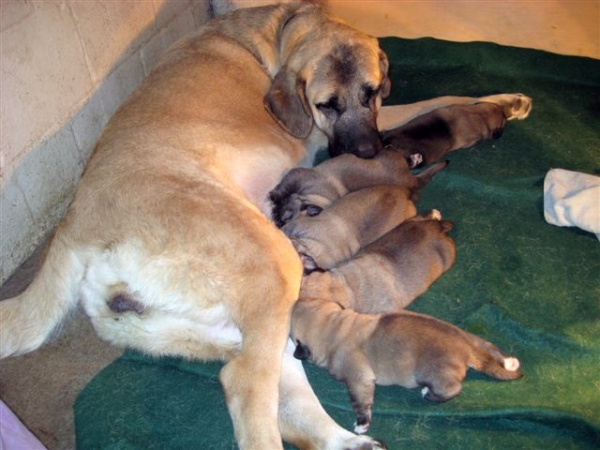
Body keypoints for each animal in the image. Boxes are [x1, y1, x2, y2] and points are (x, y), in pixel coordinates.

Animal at [292, 298, 524, 434]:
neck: (334, 326)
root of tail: (466, 348)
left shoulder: (359, 378)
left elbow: (360, 401)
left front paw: (362, 424)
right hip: (475, 340)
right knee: (490, 348)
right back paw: (510, 362)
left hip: (431, 371)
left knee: (452, 388)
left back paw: (428, 394)